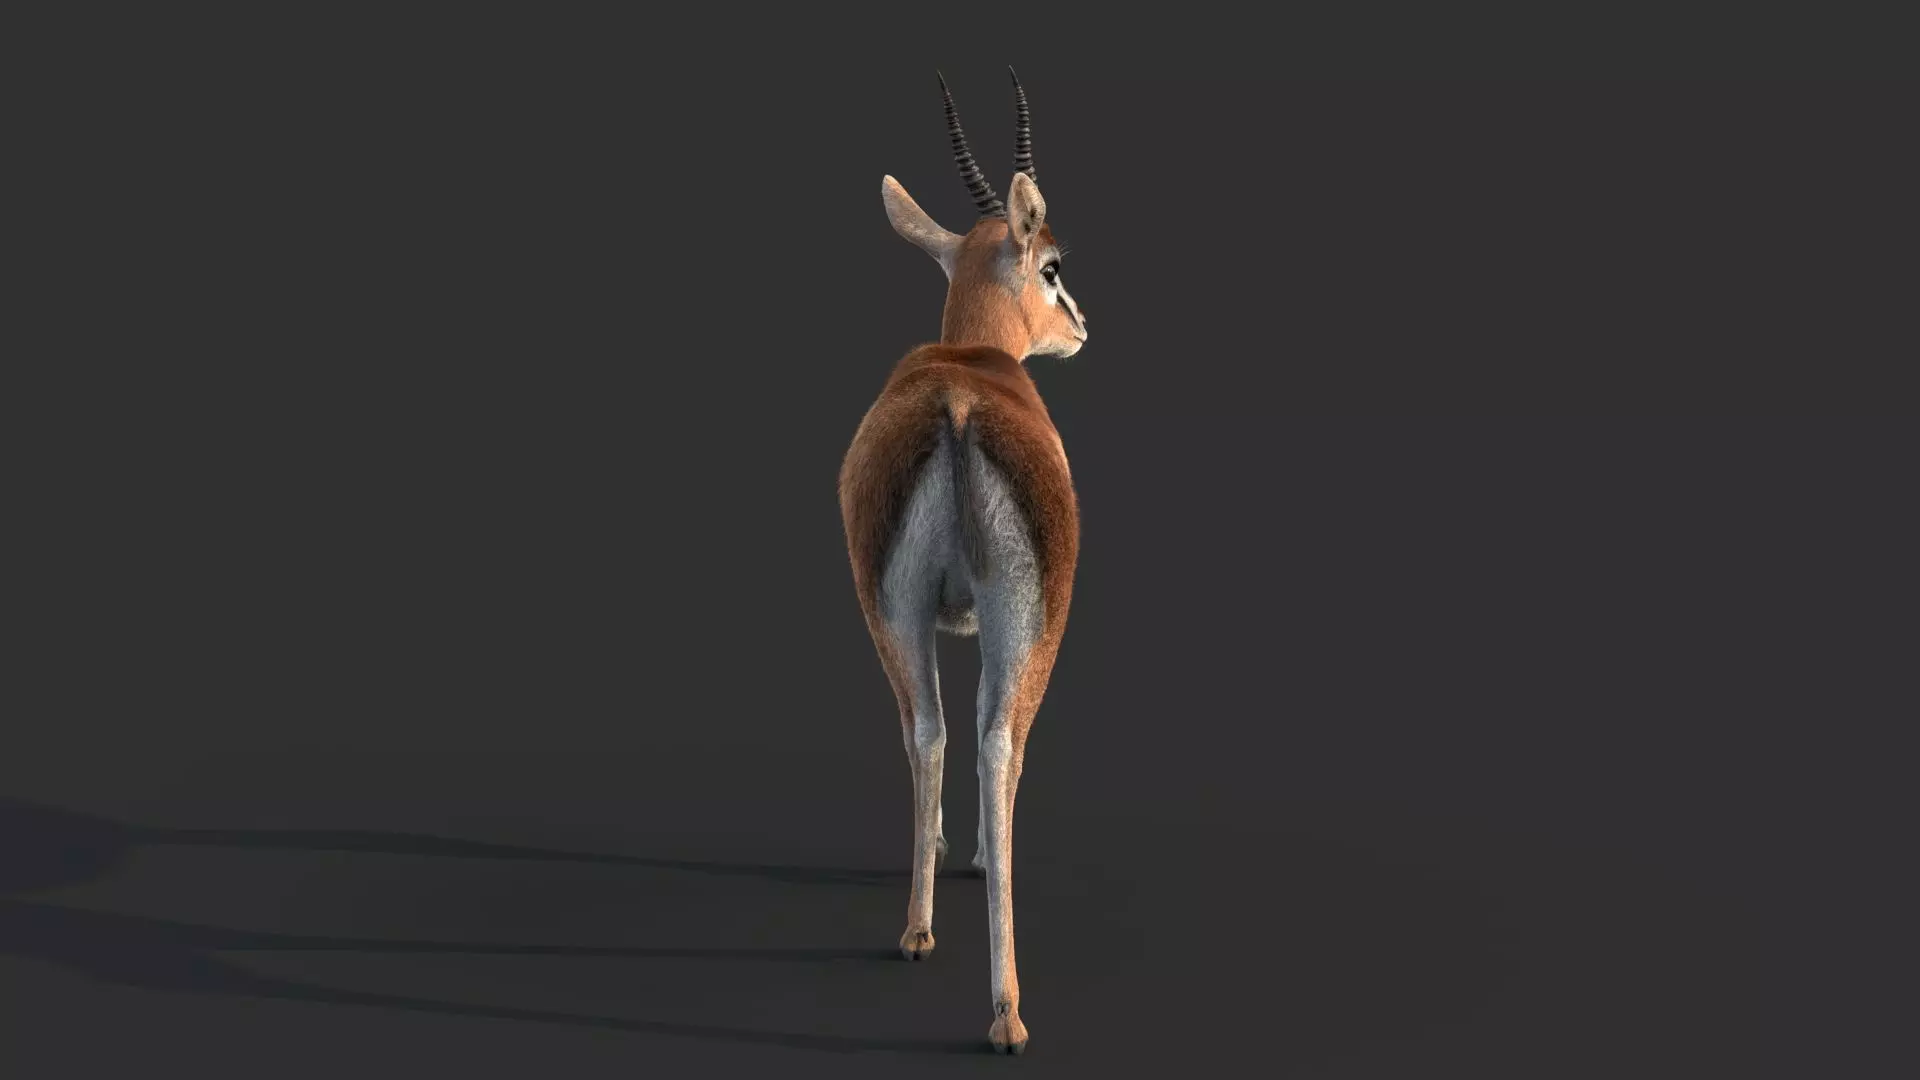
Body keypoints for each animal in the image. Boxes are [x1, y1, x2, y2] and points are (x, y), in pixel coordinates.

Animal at [837, 68, 1087, 1055]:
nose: (1083, 326)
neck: (975, 359)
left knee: (928, 730)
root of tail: (956, 408)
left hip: (888, 610)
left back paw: (916, 929)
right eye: (1052, 264)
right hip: (1031, 622)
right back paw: (1007, 1014)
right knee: (995, 743)